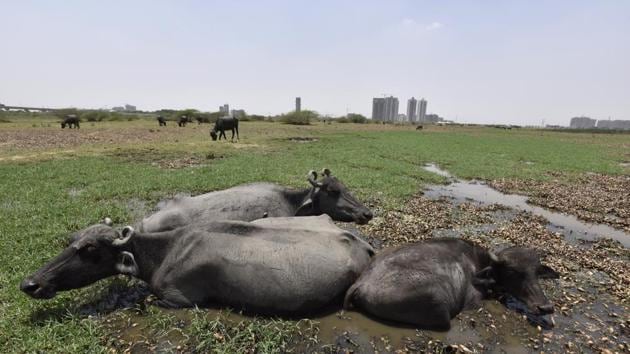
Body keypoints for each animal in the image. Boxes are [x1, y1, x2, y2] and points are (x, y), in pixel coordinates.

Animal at [21, 214, 376, 314]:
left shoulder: (178, 298)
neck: (165, 251)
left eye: (89, 249)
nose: (30, 283)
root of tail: (358, 241)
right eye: (73, 241)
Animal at [346, 238, 564, 332]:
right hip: (438, 304)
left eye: (536, 273)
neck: (479, 262)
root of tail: (362, 283)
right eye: (514, 272)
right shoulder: (473, 301)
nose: (545, 307)